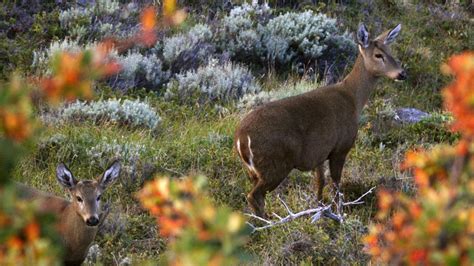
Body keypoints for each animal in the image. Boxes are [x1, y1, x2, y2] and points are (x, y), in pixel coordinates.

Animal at [235, 23, 406, 217]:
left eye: (390, 51)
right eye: (378, 55)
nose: (402, 73)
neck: (352, 99)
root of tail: (241, 138)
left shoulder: (320, 153)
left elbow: (320, 181)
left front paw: (319, 209)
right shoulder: (340, 147)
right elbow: (336, 184)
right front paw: (339, 214)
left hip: (254, 170)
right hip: (275, 165)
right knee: (254, 196)